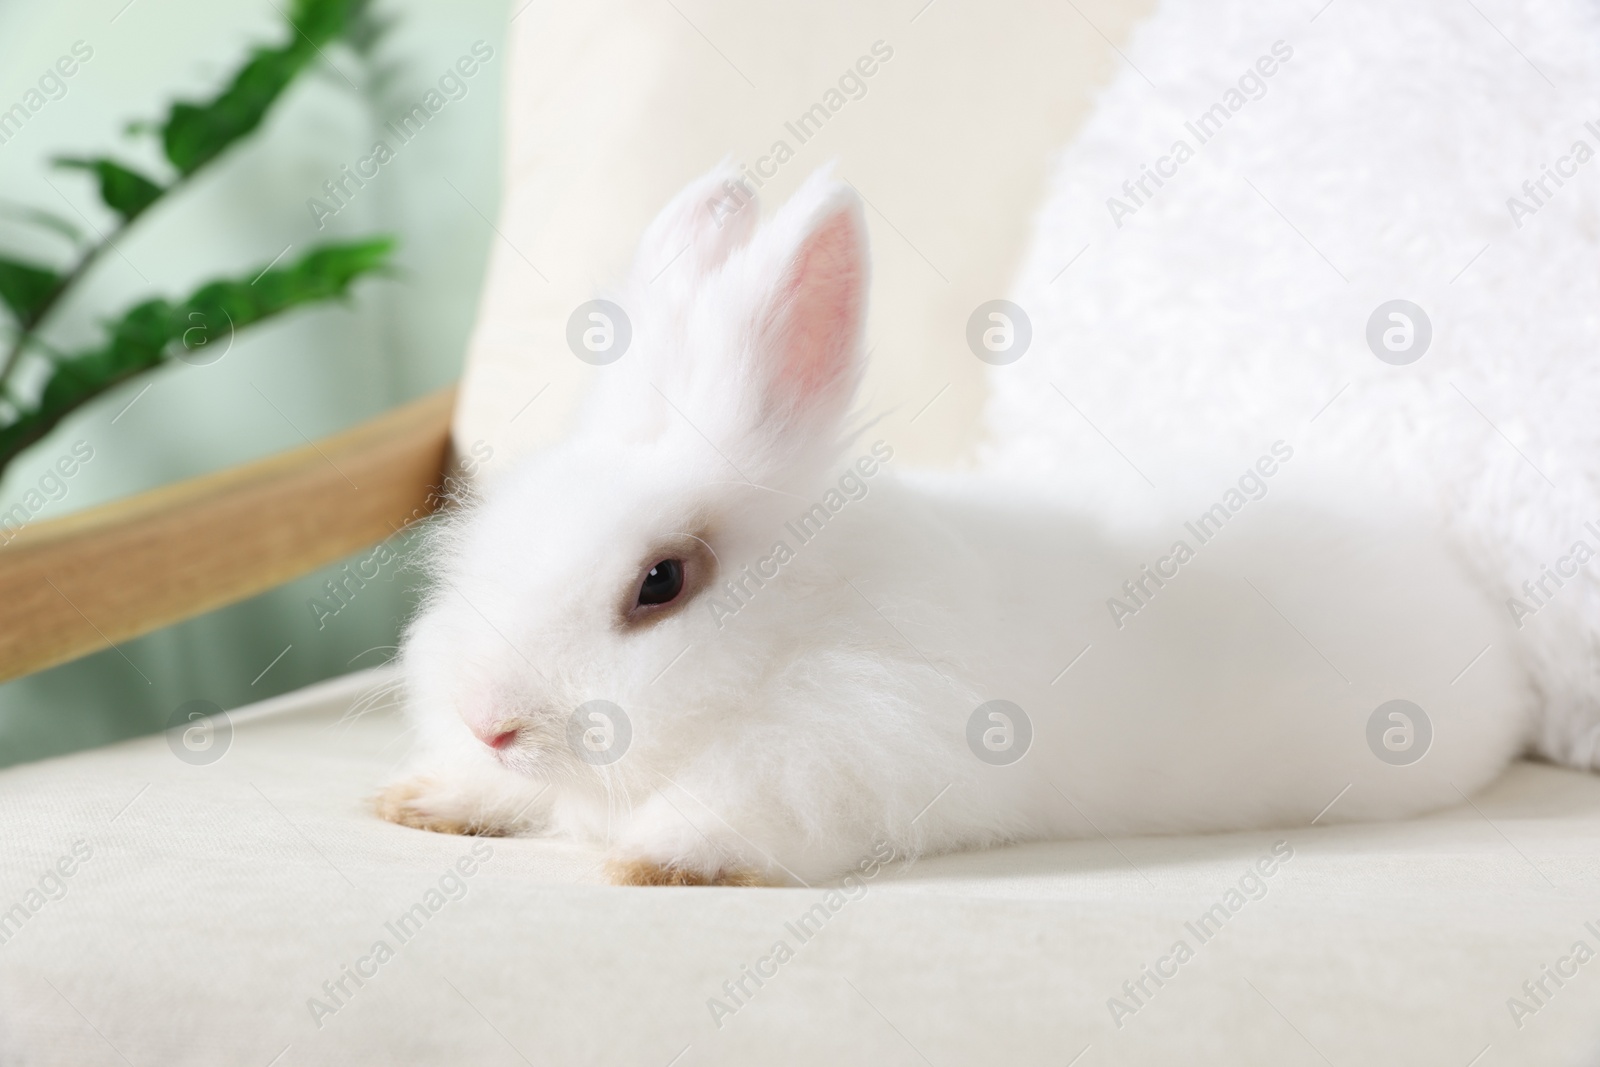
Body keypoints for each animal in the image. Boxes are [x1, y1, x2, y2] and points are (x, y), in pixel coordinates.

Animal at [377, 164, 1536, 883]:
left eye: (661, 581)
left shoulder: (846, 752)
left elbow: (734, 810)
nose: (490, 719)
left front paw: (659, 856)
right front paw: (424, 797)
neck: (806, 625)